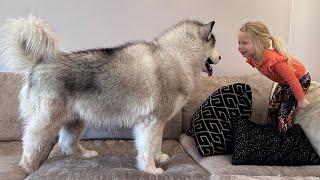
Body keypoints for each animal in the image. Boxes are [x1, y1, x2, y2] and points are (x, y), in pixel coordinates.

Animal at [0, 16, 220, 174]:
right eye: (215, 44)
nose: (220, 57)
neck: (177, 56)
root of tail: (39, 63)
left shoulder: (159, 122)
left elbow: (156, 143)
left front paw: (159, 158)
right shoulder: (151, 121)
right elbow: (147, 147)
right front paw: (150, 168)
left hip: (76, 119)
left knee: (67, 143)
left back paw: (85, 154)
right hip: (48, 120)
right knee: (31, 139)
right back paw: (28, 166)